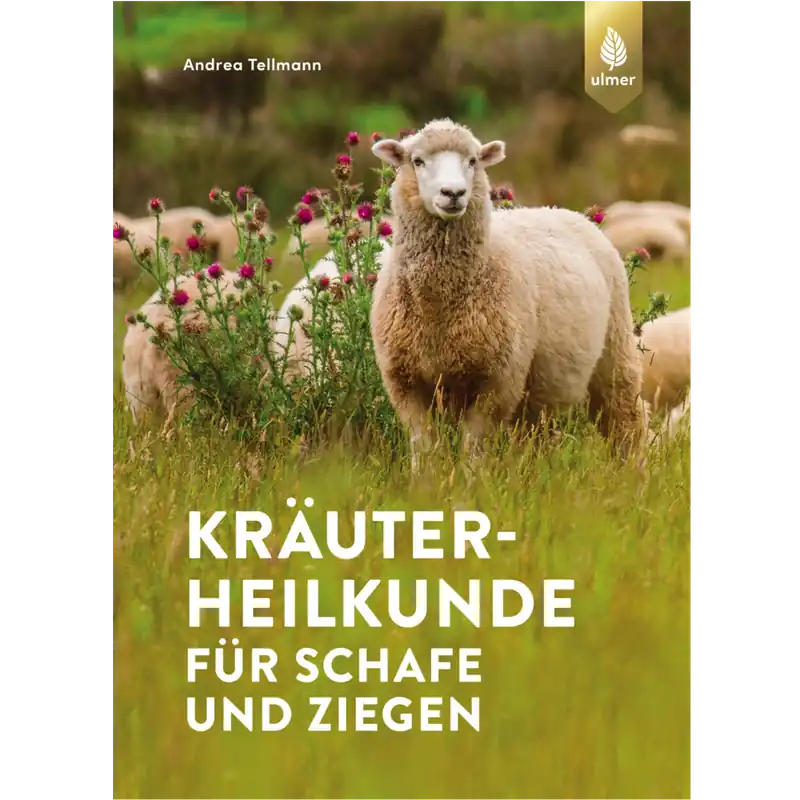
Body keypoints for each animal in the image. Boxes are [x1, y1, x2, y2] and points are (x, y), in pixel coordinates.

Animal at [370, 118, 645, 471]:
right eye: (417, 161)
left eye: (473, 161)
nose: (453, 193)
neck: (438, 310)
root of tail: (561, 210)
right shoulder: (405, 381)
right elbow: (425, 447)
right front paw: (426, 481)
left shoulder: (497, 381)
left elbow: (473, 448)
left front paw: (470, 481)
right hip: (540, 390)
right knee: (536, 435)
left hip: (614, 349)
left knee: (625, 418)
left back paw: (631, 471)